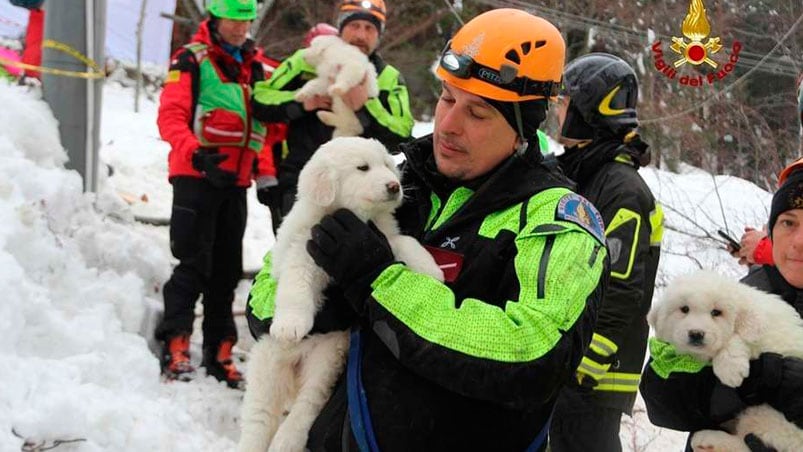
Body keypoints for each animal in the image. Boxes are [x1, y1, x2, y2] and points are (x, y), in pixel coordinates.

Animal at [237, 137, 446, 452]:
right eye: (362, 168)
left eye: (387, 165)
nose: (394, 186)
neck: (352, 217)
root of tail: (295, 368)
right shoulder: (303, 250)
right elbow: (296, 285)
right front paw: (290, 326)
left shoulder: (382, 238)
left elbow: (406, 243)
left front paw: (432, 271)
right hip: (267, 368)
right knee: (257, 420)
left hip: (326, 360)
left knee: (307, 406)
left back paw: (287, 440)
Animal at [652, 270, 803, 450]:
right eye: (684, 309)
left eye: (716, 312)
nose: (696, 333)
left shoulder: (764, 334)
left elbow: (735, 338)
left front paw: (730, 369)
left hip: (766, 416)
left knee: (745, 443)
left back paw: (707, 438)